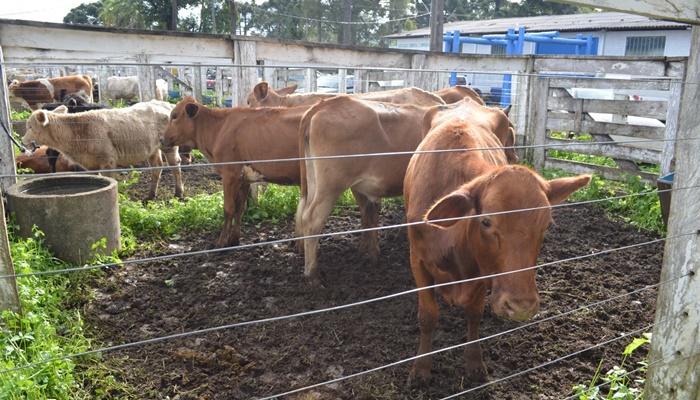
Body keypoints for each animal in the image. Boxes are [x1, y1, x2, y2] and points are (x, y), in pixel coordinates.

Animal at [23, 100, 183, 200]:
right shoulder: (91, 164)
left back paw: (179, 193)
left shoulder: (108, 161)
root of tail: (163, 104)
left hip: (169, 146)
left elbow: (111, 180)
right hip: (152, 149)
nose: (23, 141)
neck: (78, 130)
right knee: (157, 167)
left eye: (30, 126)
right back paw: (150, 195)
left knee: (175, 165)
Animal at [161, 95, 308, 248]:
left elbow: (228, 209)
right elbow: (239, 207)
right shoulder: (244, 179)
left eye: (174, 116)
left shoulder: (229, 175)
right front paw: (234, 239)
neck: (219, 127)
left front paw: (221, 242)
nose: (161, 139)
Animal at [296, 95, 516, 286]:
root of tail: (324, 104)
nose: (514, 159)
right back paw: (312, 275)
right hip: (330, 186)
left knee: (303, 212)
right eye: (510, 134)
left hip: (314, 182)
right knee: (312, 219)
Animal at [404, 101, 592, 382]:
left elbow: (474, 315)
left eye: (547, 225)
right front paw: (421, 368)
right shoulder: (418, 260)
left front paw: (474, 362)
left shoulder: (484, 269)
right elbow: (428, 316)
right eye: (486, 222)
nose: (521, 306)